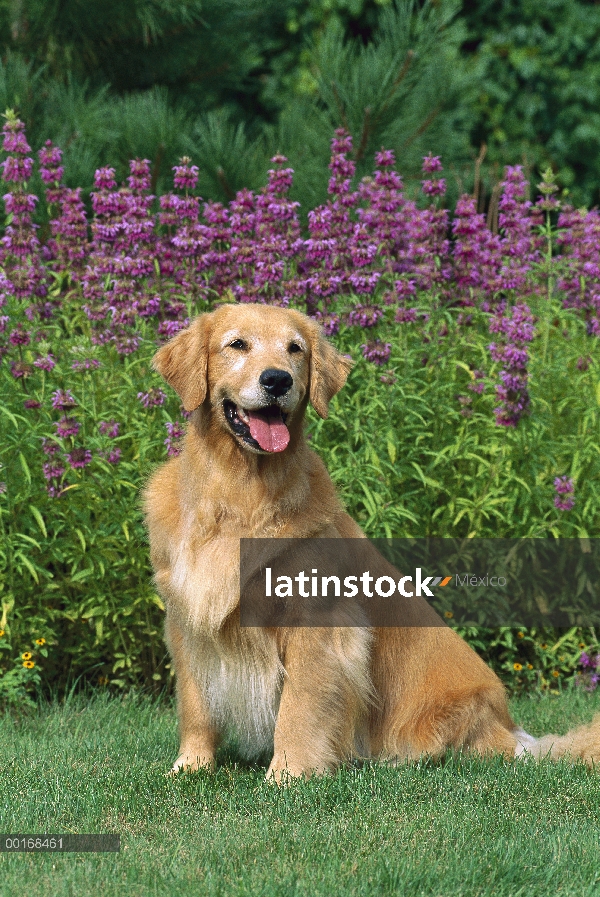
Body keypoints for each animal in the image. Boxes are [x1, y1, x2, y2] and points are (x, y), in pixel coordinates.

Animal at [144, 300, 600, 776]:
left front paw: (287, 774)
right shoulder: (186, 619)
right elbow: (195, 706)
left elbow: (299, 709)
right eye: (237, 344)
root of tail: (513, 732)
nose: (278, 380)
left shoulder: (317, 623)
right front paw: (190, 767)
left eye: (295, 349)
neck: (240, 495)